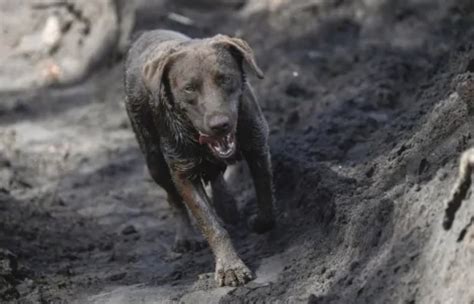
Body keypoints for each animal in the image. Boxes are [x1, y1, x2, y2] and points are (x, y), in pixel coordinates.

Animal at [124, 29, 276, 286]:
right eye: (189, 88)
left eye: (224, 78)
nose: (219, 125)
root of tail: (144, 34)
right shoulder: (183, 173)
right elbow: (210, 224)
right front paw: (230, 267)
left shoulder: (258, 144)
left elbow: (266, 198)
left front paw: (258, 223)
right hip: (154, 162)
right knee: (174, 200)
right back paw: (185, 237)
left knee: (217, 176)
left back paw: (227, 205)